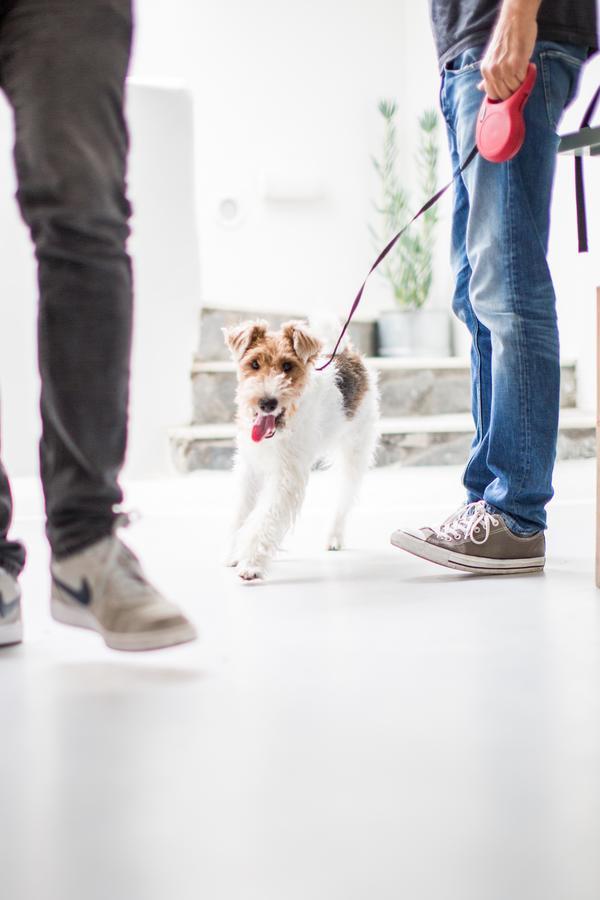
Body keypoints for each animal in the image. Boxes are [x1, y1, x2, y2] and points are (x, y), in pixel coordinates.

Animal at [223, 320, 378, 580]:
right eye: (254, 363)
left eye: (287, 366)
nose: (267, 403)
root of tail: (346, 352)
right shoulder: (249, 468)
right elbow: (241, 512)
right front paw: (235, 553)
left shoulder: (286, 476)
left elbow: (266, 517)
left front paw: (252, 563)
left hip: (354, 454)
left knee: (343, 499)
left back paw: (333, 538)